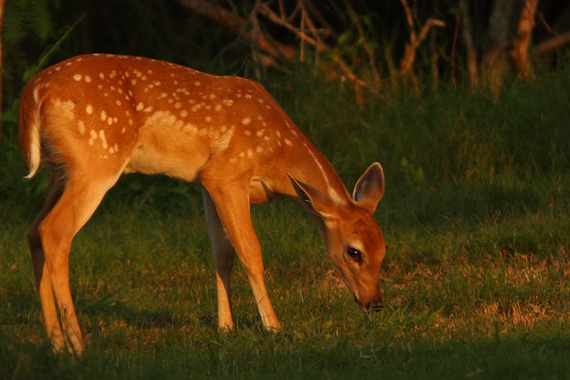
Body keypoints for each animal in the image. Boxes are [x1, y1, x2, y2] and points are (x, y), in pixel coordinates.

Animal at [20, 53, 384, 354]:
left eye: (384, 251)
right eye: (354, 252)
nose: (376, 303)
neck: (277, 157)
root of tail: (33, 91)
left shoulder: (207, 182)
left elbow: (222, 254)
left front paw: (226, 328)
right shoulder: (228, 172)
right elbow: (251, 252)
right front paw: (273, 327)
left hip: (61, 170)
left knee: (34, 231)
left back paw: (55, 342)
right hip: (97, 161)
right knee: (55, 231)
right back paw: (77, 344)